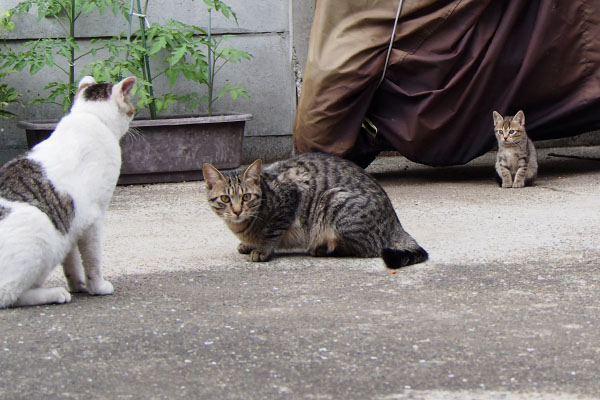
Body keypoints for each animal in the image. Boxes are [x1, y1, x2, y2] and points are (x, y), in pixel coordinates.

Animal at [0, 76, 136, 310]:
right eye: (132, 110)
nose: (133, 114)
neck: (90, 116)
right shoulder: (94, 217)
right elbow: (92, 260)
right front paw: (97, 287)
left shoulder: (72, 222)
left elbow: (71, 260)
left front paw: (78, 285)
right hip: (40, 229)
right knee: (8, 295)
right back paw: (54, 293)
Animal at [204, 153, 428, 268]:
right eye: (225, 199)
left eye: (246, 197)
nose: (237, 211)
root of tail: (395, 223)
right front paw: (248, 244)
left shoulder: (291, 193)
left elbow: (272, 232)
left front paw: (262, 249)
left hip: (334, 201)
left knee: (368, 248)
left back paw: (322, 248)